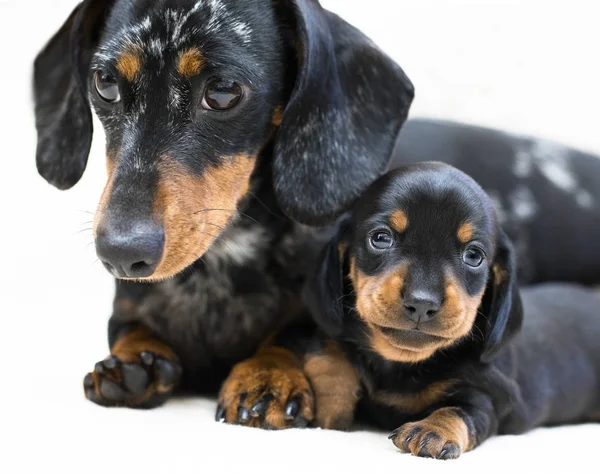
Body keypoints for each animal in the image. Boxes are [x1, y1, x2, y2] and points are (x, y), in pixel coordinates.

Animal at [304, 161, 600, 458]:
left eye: (474, 255)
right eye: (380, 238)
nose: (422, 303)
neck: (404, 363)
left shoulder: (488, 397)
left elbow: (459, 410)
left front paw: (432, 430)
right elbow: (334, 361)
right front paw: (329, 401)